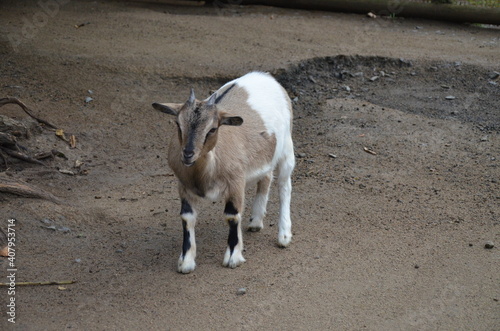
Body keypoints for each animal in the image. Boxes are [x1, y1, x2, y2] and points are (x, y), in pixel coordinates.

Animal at [151, 71, 292, 274]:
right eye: (178, 124)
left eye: (212, 129)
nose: (188, 154)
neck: (204, 172)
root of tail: (264, 76)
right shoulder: (183, 185)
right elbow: (187, 217)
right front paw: (186, 261)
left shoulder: (236, 182)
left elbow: (232, 215)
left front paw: (233, 257)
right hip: (266, 156)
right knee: (265, 178)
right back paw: (255, 222)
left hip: (287, 148)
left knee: (284, 186)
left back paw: (284, 236)